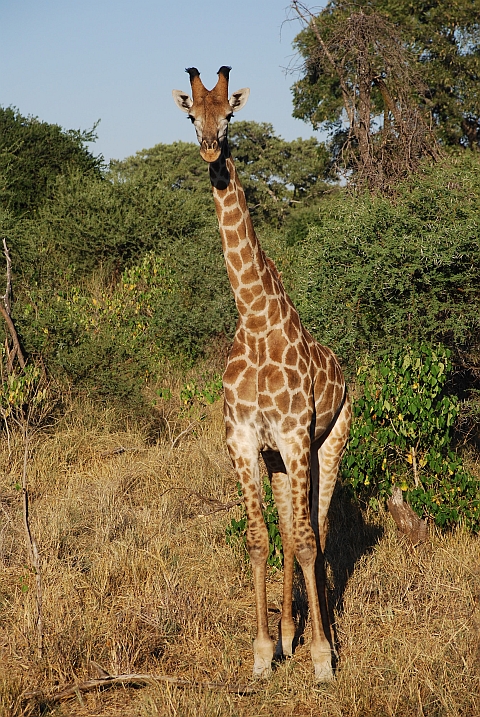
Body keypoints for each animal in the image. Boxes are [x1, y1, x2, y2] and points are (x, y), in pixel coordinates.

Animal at [172, 66, 351, 682]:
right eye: (191, 114)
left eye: (229, 114)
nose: (211, 149)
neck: (253, 316)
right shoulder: (244, 440)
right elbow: (257, 539)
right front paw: (262, 651)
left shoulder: (297, 436)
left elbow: (305, 539)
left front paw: (322, 660)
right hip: (278, 460)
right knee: (292, 532)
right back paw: (290, 632)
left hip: (330, 442)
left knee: (316, 531)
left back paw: (317, 636)